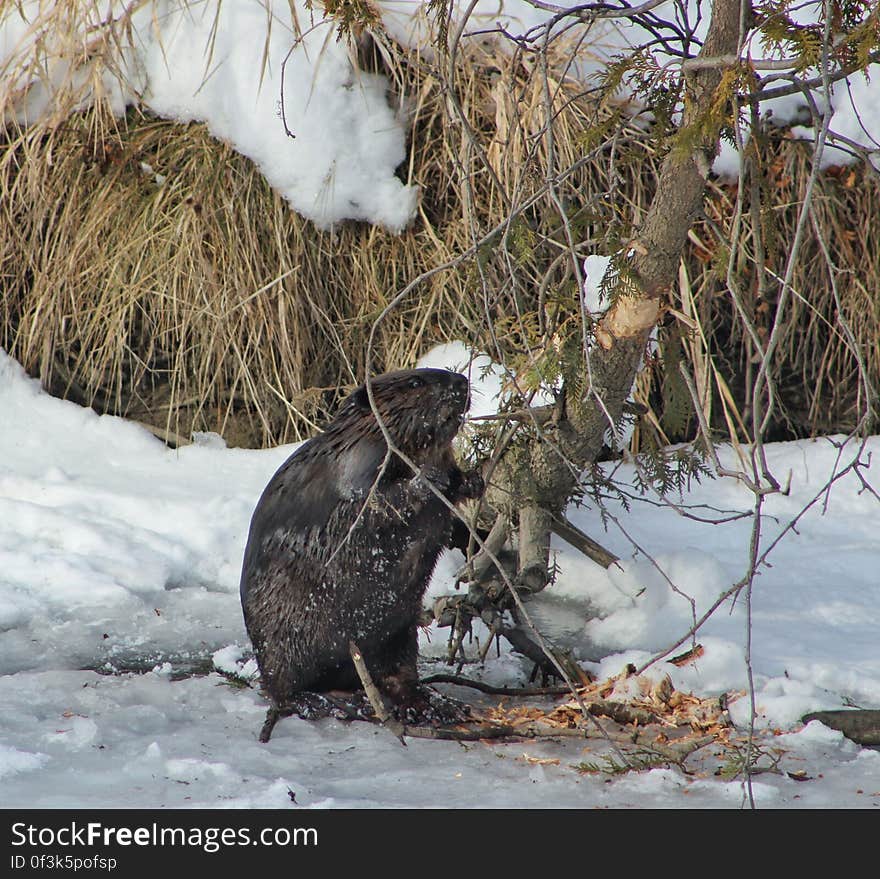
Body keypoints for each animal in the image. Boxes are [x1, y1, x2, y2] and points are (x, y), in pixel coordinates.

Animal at [239, 368, 482, 740]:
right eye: (415, 383)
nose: (461, 383)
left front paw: (473, 480)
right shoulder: (355, 466)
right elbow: (373, 503)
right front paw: (427, 479)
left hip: (397, 635)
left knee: (399, 677)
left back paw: (434, 704)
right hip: (282, 644)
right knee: (283, 690)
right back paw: (330, 701)